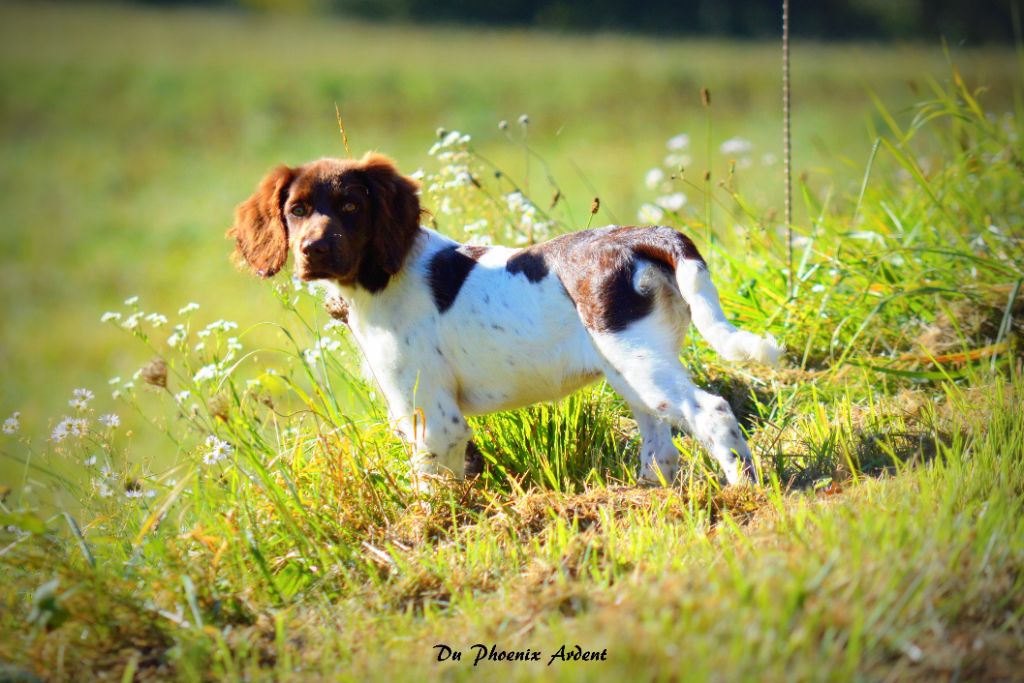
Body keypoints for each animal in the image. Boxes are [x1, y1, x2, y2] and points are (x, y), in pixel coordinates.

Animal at [228, 153, 778, 485]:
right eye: (297, 210)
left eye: (350, 205)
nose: (313, 250)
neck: (382, 275)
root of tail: (645, 236)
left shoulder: (434, 416)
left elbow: (431, 490)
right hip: (630, 366)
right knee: (661, 444)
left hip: (639, 360)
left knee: (712, 413)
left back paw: (744, 488)